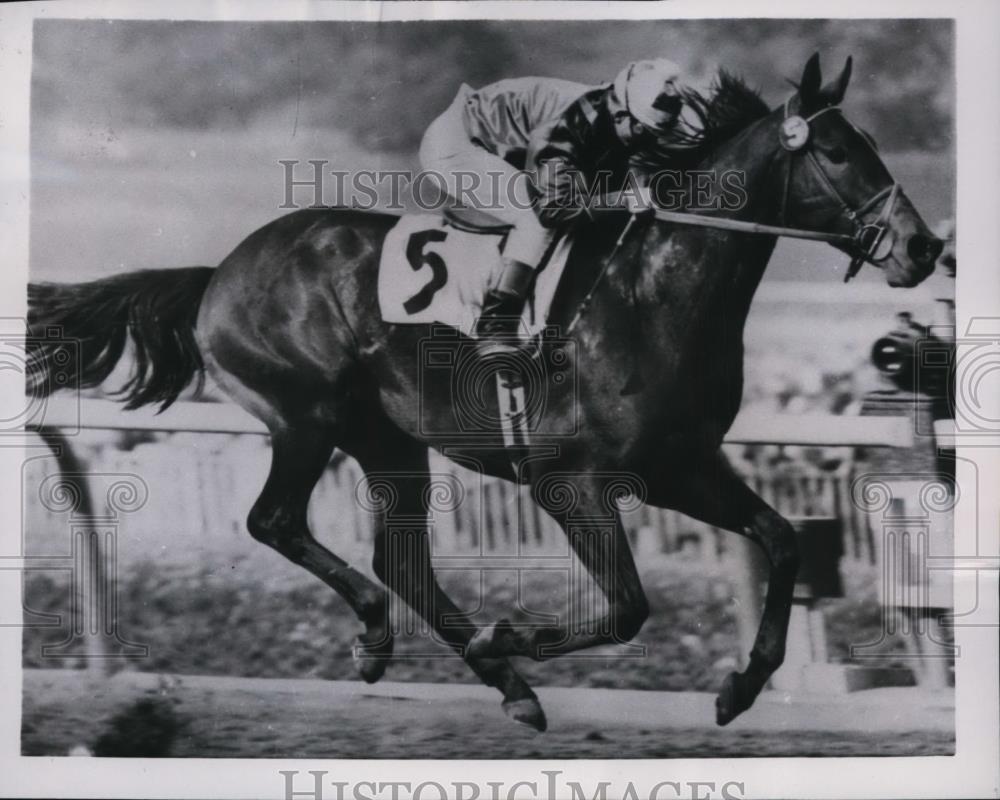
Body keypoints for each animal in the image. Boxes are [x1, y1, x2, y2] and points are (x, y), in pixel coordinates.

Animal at [27, 54, 940, 732]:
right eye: (837, 152)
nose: (926, 248)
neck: (649, 293)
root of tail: (220, 270)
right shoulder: (569, 480)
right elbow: (628, 607)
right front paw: (518, 631)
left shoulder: (681, 465)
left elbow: (782, 543)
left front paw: (742, 686)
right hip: (304, 417)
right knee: (277, 522)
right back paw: (398, 636)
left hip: (389, 440)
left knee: (399, 558)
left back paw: (501, 682)